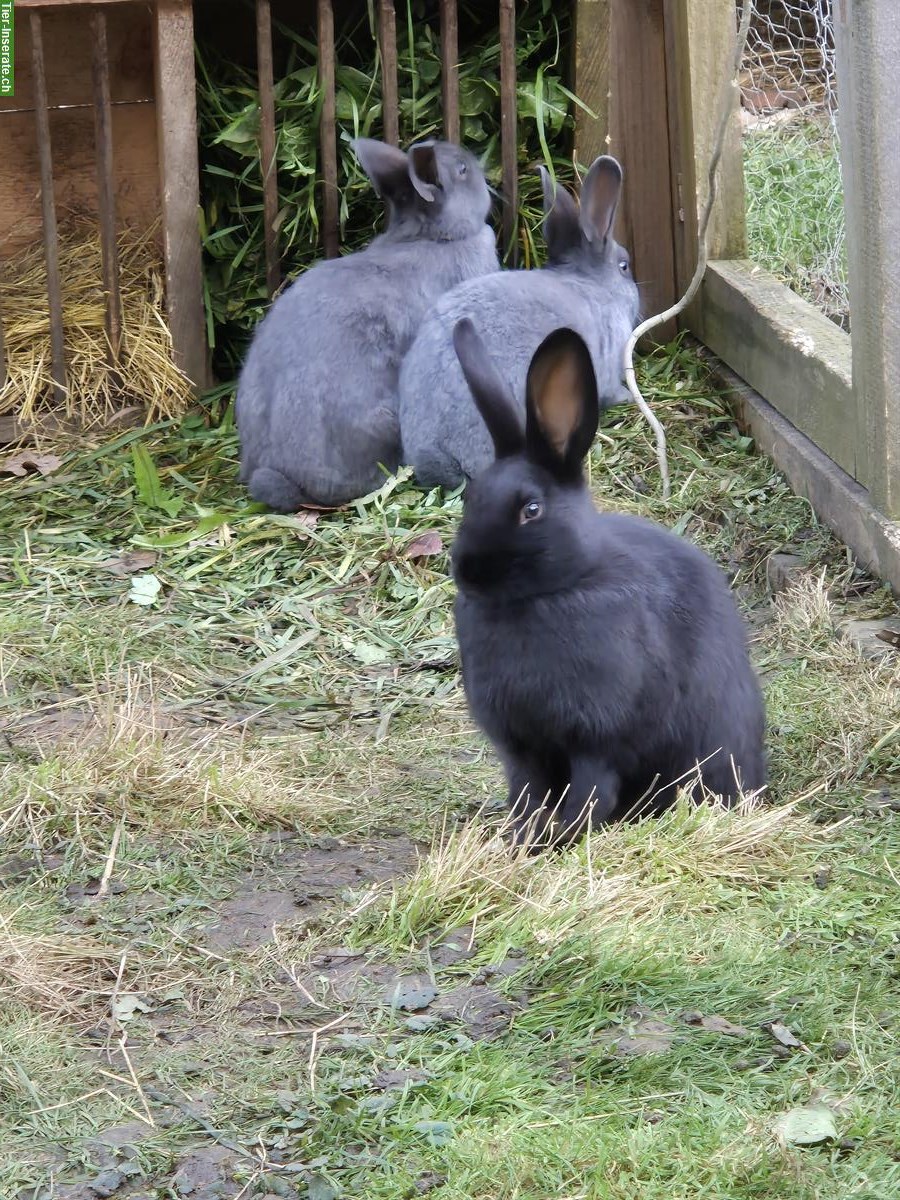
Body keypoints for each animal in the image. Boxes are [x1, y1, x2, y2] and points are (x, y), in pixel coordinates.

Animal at [451, 316, 768, 844]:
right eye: (468, 498)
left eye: (531, 509)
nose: (468, 572)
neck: (552, 590)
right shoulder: (520, 745)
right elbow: (527, 790)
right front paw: (522, 837)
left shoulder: (597, 738)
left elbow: (590, 789)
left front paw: (565, 834)